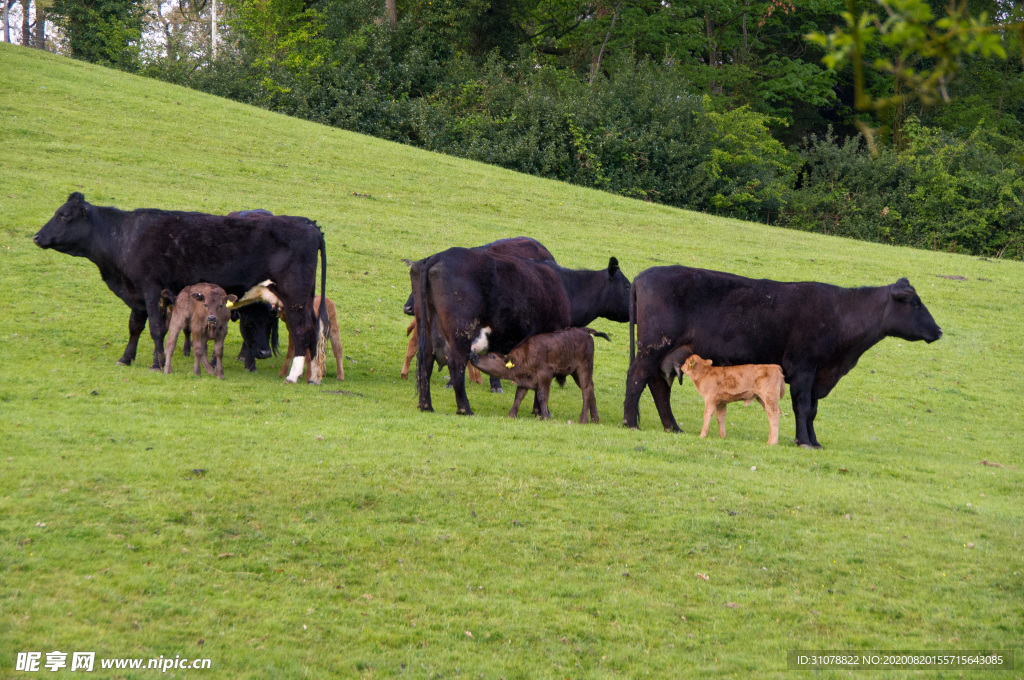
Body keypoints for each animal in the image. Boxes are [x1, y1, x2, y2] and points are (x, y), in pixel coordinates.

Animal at [33, 192, 327, 383]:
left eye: (63, 215)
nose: (36, 236)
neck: (125, 236)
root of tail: (307, 222)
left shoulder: (153, 289)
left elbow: (156, 328)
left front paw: (157, 363)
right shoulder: (137, 293)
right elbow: (135, 326)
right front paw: (126, 358)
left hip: (294, 293)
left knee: (303, 329)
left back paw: (294, 375)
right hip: (304, 295)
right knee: (313, 329)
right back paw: (313, 374)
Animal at [468, 327, 606, 421]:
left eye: (492, 356)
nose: (473, 355)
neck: (524, 358)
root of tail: (584, 330)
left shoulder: (545, 374)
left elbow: (542, 395)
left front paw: (544, 416)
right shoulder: (524, 381)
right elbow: (518, 397)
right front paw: (511, 415)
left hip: (583, 368)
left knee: (586, 390)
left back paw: (583, 419)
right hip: (575, 372)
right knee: (590, 388)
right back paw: (595, 419)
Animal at [618, 268, 937, 448]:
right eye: (915, 303)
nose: (939, 330)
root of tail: (645, 275)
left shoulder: (817, 374)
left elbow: (812, 410)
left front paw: (813, 441)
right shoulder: (803, 368)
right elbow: (803, 408)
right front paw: (804, 442)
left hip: (665, 352)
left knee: (658, 386)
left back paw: (673, 427)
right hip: (652, 347)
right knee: (636, 379)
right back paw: (630, 423)